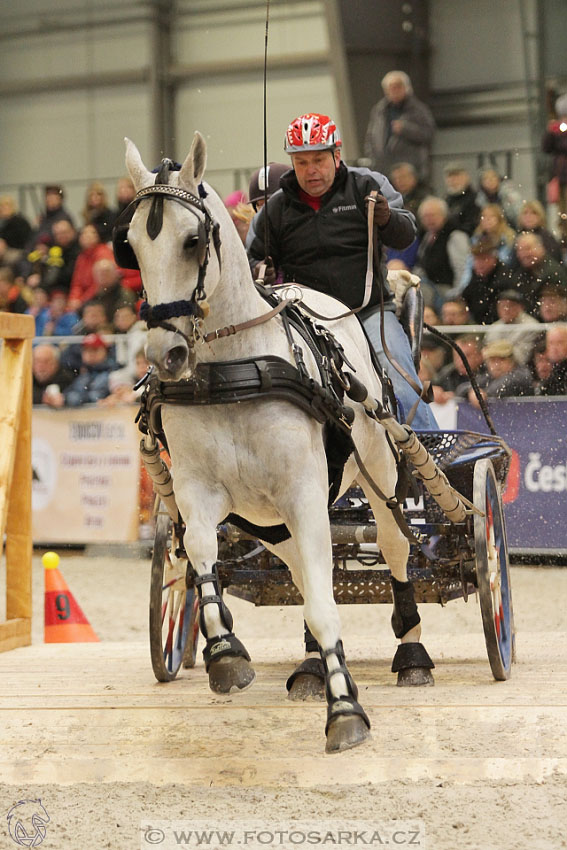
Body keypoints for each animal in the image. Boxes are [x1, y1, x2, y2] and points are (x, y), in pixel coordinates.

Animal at [123, 132, 434, 748]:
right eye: (132, 247)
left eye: (192, 240)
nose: (166, 355)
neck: (234, 367)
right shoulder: (199, 492)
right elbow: (200, 553)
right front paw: (224, 652)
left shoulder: (304, 491)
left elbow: (326, 597)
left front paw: (345, 710)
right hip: (268, 518)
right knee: (300, 573)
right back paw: (311, 664)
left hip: (379, 472)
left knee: (393, 547)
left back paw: (410, 652)